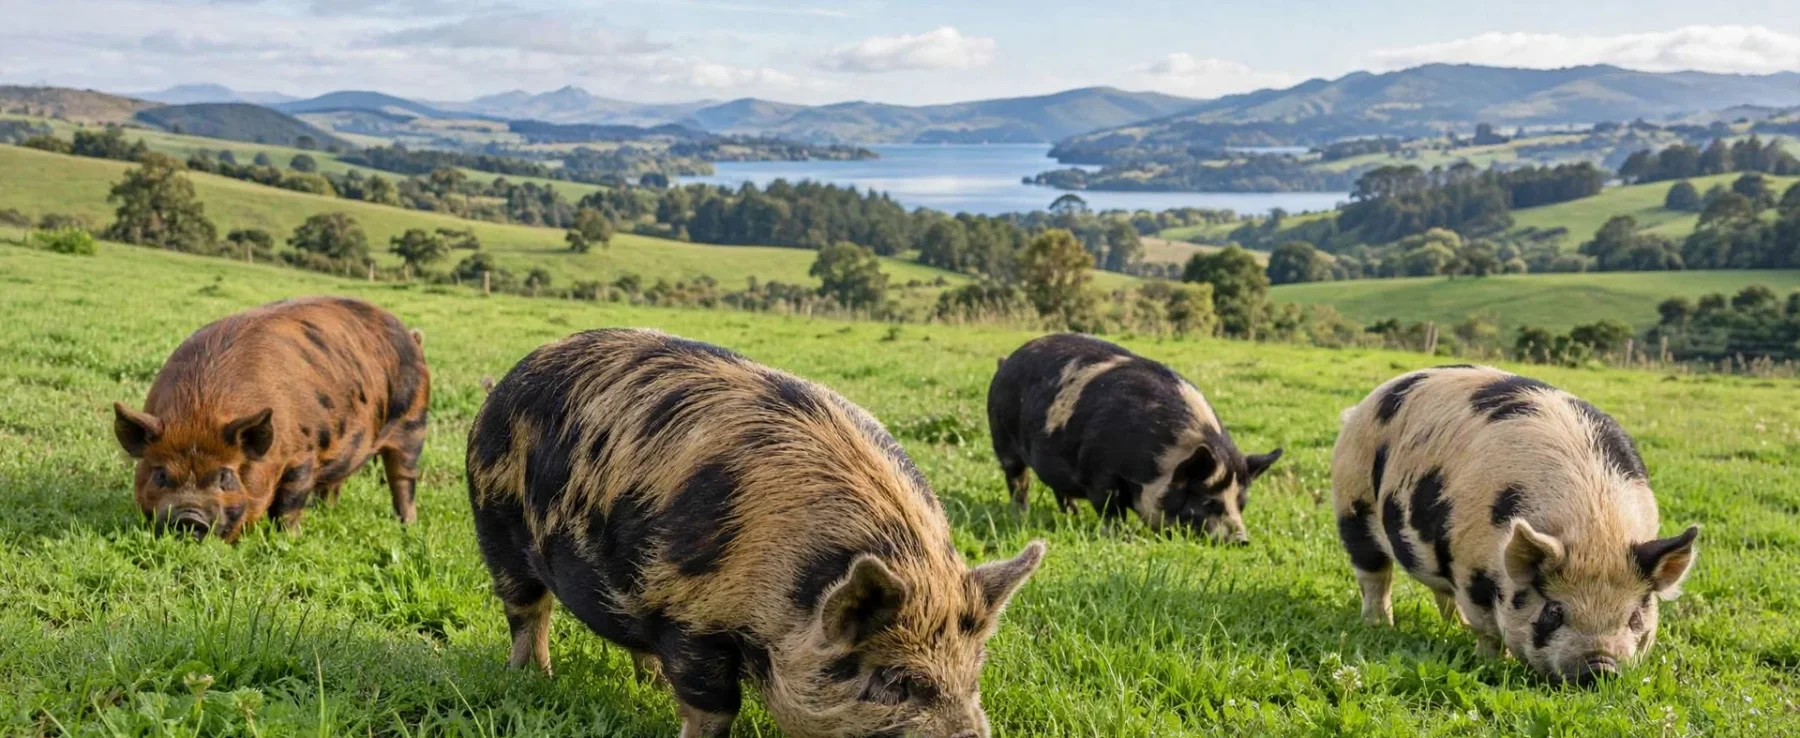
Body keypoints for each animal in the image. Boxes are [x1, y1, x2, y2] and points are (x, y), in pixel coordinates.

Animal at [112, 296, 431, 541]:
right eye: (161, 475)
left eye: (225, 476)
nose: (189, 516)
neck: (201, 409)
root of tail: (413, 338)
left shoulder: (303, 454)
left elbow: (287, 505)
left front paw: (289, 539)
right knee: (336, 482)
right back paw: (325, 511)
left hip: (414, 425)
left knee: (403, 480)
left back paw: (408, 526)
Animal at [466, 328, 1046, 738]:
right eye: (897, 681)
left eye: (972, 675)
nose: (968, 734)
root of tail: (511, 377)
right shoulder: (691, 615)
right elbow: (715, 709)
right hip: (495, 522)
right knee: (527, 610)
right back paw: (533, 678)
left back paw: (649, 683)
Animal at [986, 333, 1282, 543]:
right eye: (1209, 502)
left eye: (1242, 504)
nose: (1242, 540)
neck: (1159, 460)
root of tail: (1006, 362)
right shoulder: (1099, 472)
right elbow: (1110, 508)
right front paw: (1121, 537)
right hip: (1002, 438)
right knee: (1018, 480)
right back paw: (1022, 516)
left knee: (1060, 489)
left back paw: (1073, 515)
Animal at [1332, 366, 1699, 684]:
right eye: (1554, 612)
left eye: (1634, 616)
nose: (1601, 666)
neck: (1594, 528)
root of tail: (1363, 405)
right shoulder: (1469, 568)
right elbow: (1488, 630)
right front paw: (1492, 663)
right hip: (1352, 501)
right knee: (1374, 574)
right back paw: (1380, 626)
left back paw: (1454, 627)